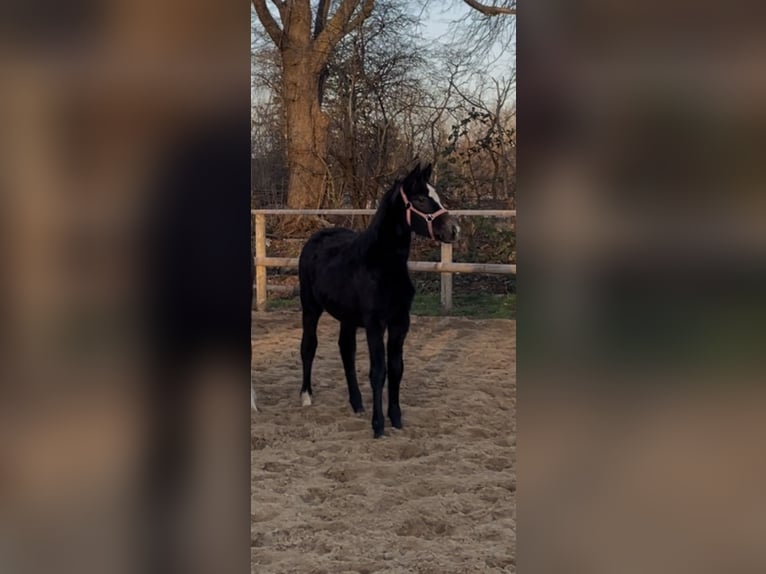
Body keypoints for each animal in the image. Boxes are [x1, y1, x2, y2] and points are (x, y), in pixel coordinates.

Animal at [297, 162, 460, 438]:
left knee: (346, 351)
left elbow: (395, 369)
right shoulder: (375, 324)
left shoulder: (400, 323)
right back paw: (306, 396)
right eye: (420, 199)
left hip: (348, 318)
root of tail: (316, 237)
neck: (382, 265)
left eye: (435, 195)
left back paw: (356, 403)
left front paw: (396, 418)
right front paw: (378, 425)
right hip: (310, 308)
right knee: (309, 346)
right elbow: (378, 371)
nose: (453, 230)